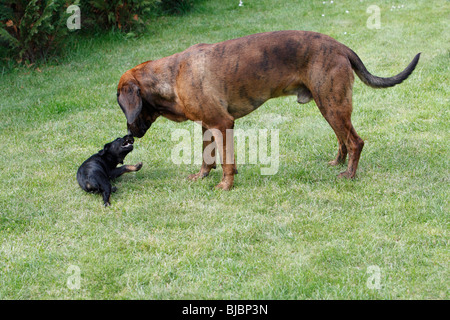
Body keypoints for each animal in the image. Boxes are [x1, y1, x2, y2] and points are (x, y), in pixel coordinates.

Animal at [118, 29, 420, 190]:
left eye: (124, 107)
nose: (130, 133)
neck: (172, 75)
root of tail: (340, 46)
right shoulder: (207, 125)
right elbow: (207, 157)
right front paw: (203, 175)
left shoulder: (223, 123)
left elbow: (227, 161)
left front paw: (226, 185)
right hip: (330, 106)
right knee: (343, 140)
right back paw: (339, 163)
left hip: (333, 106)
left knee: (356, 141)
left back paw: (349, 174)